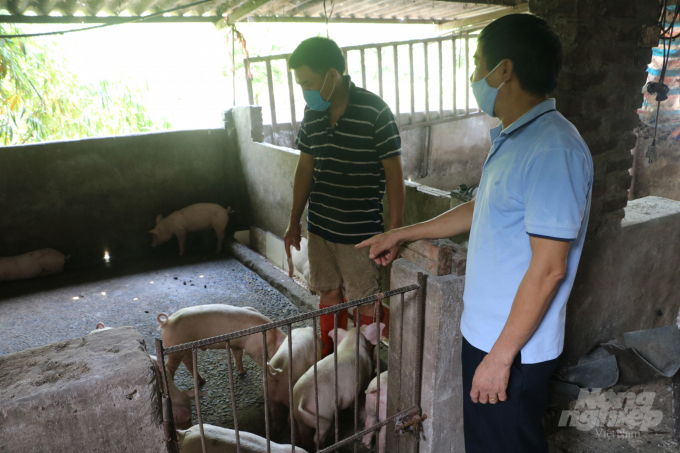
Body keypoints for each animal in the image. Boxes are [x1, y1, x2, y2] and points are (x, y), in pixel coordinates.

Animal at [158, 302, 286, 384]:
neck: (271, 336)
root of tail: (167, 322)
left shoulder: (237, 345)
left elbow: (238, 358)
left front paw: (243, 372)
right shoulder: (253, 350)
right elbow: (264, 363)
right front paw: (274, 374)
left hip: (185, 349)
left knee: (189, 364)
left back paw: (203, 381)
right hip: (175, 349)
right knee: (169, 367)